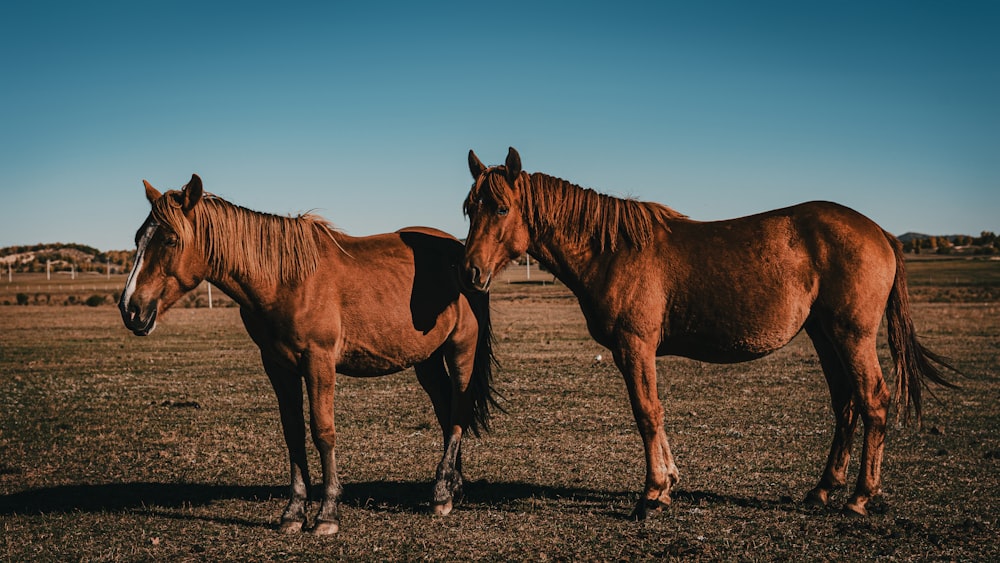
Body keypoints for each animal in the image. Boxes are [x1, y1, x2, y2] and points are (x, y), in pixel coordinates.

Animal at [119, 174, 498, 536]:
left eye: (170, 240)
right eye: (138, 238)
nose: (130, 308)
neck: (285, 280)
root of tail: (465, 256)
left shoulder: (319, 362)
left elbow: (322, 432)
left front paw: (327, 514)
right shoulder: (277, 366)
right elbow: (293, 433)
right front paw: (293, 512)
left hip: (461, 348)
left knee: (459, 410)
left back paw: (441, 494)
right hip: (427, 359)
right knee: (446, 410)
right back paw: (452, 486)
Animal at [464, 147, 956, 520]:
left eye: (502, 208)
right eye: (470, 209)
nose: (469, 272)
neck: (613, 251)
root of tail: (879, 231)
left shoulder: (634, 347)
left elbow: (647, 413)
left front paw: (652, 494)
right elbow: (655, 413)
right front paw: (667, 485)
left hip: (851, 335)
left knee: (873, 401)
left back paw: (859, 498)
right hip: (826, 336)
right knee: (846, 404)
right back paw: (822, 490)